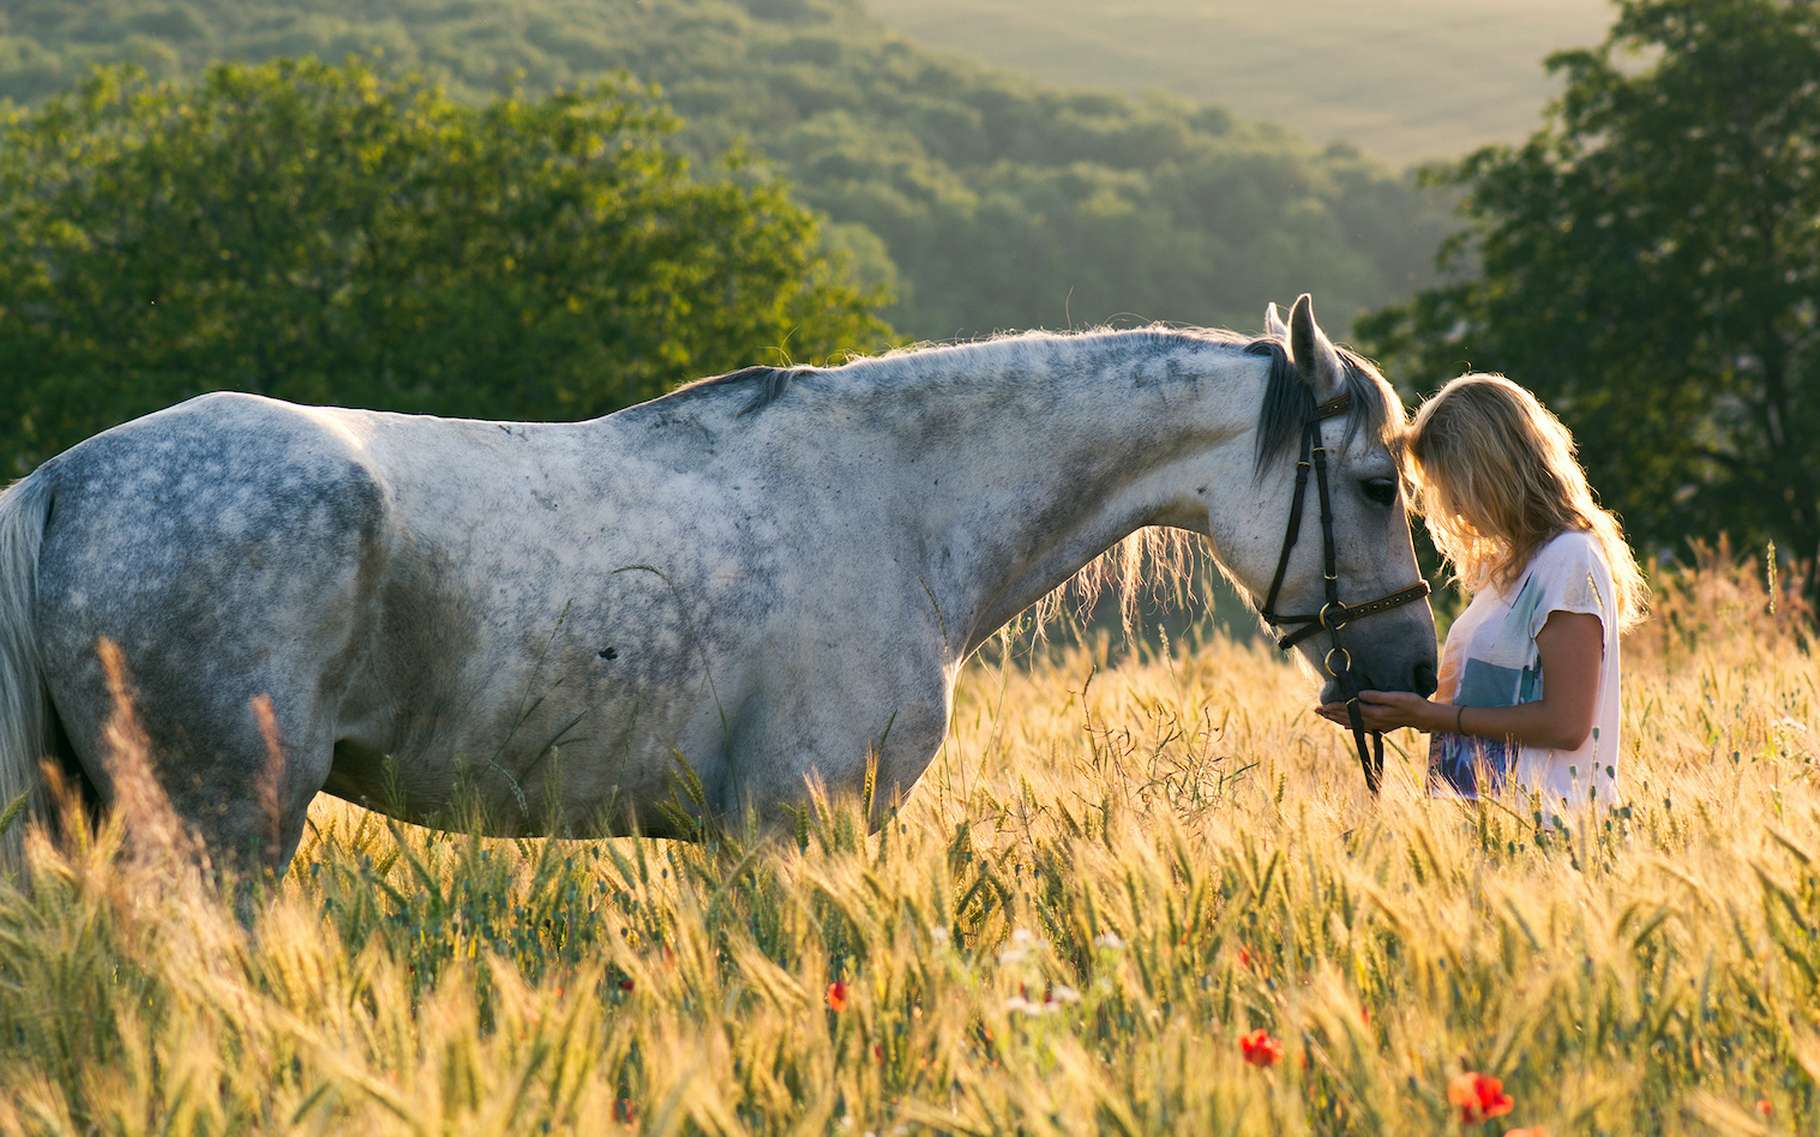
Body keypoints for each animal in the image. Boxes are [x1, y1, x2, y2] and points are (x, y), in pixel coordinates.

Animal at [7, 294, 1441, 876]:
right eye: (1379, 484)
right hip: (224, 826)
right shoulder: (795, 830)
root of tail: (65, 479)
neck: (895, 503)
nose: (1415, 671)